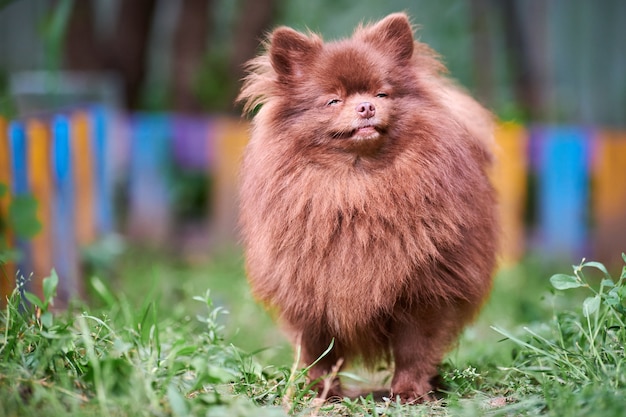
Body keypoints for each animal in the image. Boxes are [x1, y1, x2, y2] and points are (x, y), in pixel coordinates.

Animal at [235, 13, 498, 404]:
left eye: (381, 94)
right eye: (333, 101)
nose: (366, 107)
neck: (358, 184)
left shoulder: (424, 292)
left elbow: (414, 347)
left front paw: (409, 392)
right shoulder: (310, 290)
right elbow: (320, 352)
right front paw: (321, 393)